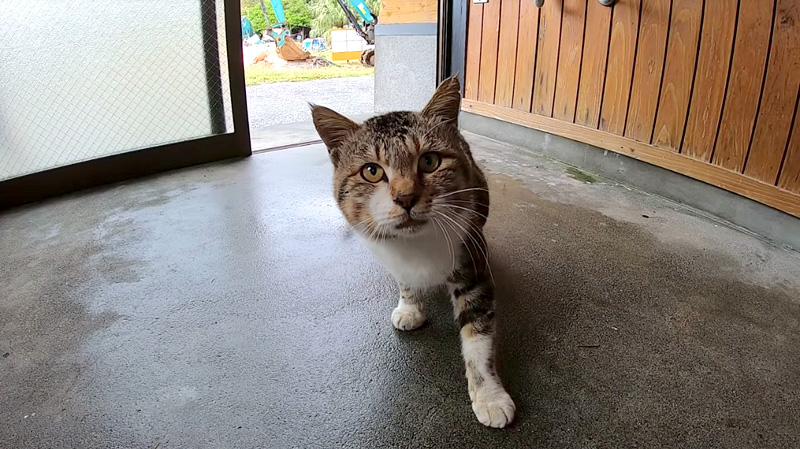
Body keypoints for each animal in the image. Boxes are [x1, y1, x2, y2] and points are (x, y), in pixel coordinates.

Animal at [310, 75, 516, 426]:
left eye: (429, 161)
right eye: (371, 171)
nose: (405, 198)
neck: (417, 243)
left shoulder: (471, 257)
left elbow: (478, 335)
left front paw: (490, 397)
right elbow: (406, 281)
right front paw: (410, 309)